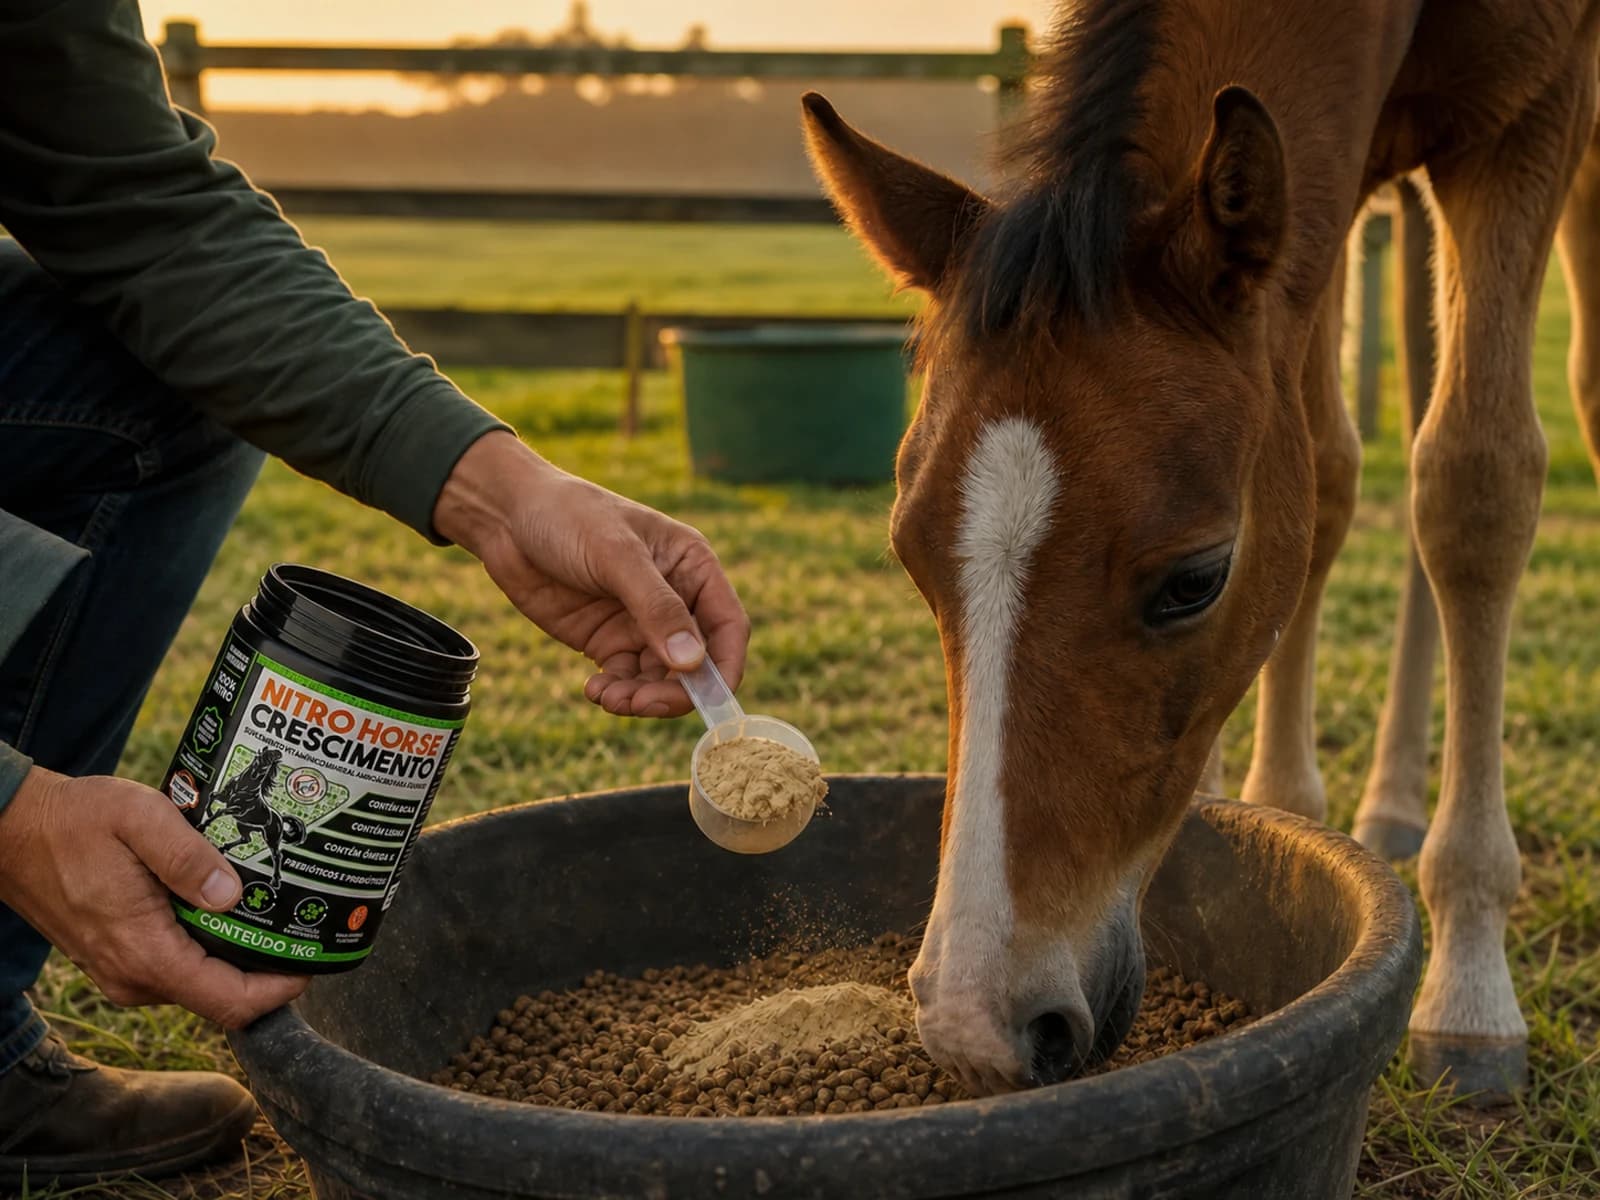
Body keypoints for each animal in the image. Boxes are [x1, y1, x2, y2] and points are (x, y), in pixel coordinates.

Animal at [198, 746, 307, 889]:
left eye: (269, 761)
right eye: (265, 755)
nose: (278, 753)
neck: (244, 786)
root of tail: (280, 818)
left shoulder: (237, 809)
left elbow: (220, 811)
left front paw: (203, 825)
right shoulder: (225, 797)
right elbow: (213, 795)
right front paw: (209, 813)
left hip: (271, 838)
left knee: (277, 856)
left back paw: (275, 881)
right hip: (243, 825)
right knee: (246, 839)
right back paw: (223, 847)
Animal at [802, 0, 1600, 1099]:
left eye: (1193, 581)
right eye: (913, 561)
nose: (974, 1022)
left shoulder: (1533, 112)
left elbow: (1475, 488)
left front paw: (1472, 987)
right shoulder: (1316, 194)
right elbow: (1322, 474)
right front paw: (1279, 810)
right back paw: (1390, 797)